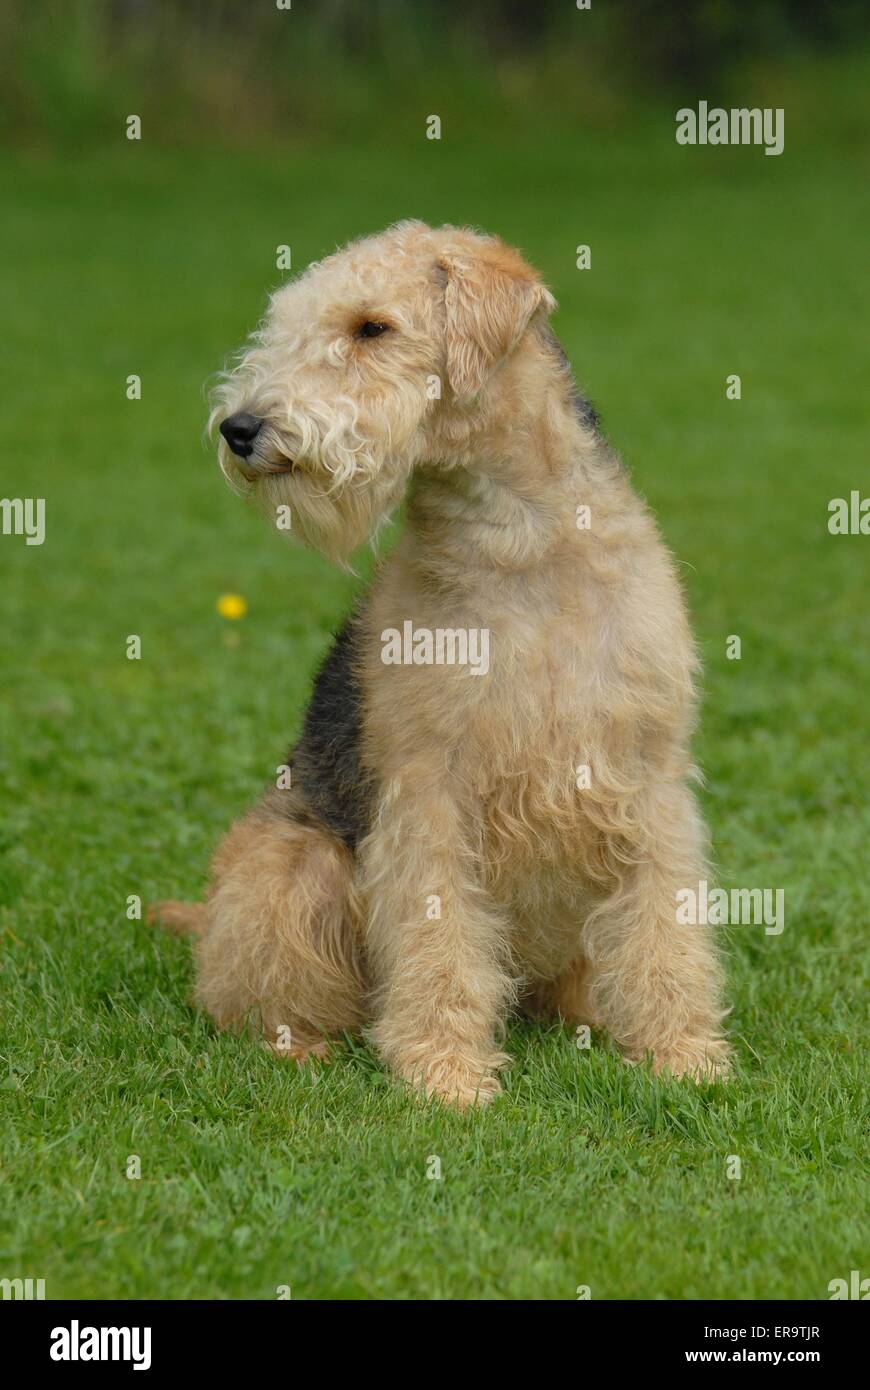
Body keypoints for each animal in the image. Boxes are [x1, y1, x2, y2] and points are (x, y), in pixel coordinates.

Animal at [152, 219, 728, 1106]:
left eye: (372, 328)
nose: (240, 429)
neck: (520, 540)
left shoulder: (650, 776)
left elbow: (665, 927)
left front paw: (682, 1054)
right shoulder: (429, 788)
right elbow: (440, 939)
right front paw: (444, 1073)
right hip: (294, 863)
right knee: (251, 995)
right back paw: (301, 1047)